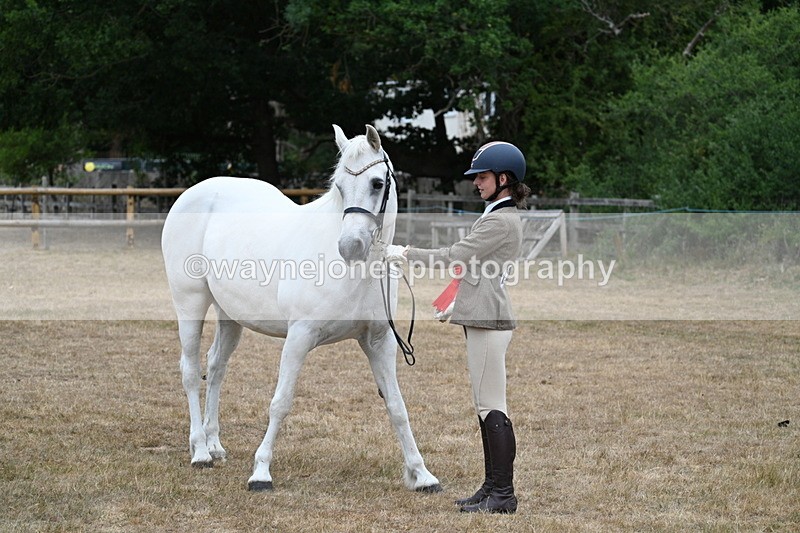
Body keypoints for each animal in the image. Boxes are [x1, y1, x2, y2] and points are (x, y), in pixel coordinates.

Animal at [161, 124, 441, 493]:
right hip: (190, 302)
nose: (349, 247)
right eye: (339, 186)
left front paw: (422, 474)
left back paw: (214, 444)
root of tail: (192, 193)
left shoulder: (379, 342)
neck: (357, 273)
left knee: (216, 367)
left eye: (377, 183)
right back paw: (200, 452)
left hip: (231, 316)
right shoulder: (299, 336)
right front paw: (261, 472)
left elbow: (396, 405)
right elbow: (280, 403)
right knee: (191, 371)